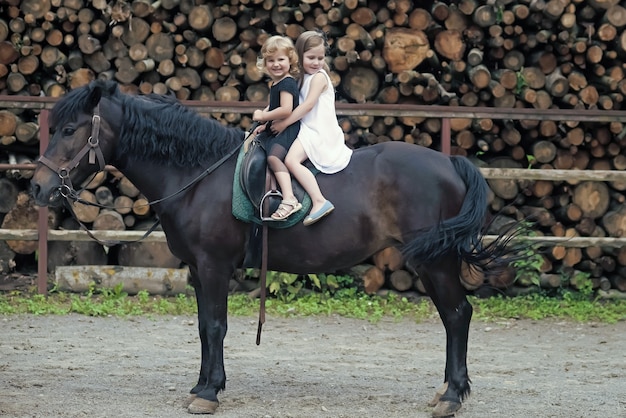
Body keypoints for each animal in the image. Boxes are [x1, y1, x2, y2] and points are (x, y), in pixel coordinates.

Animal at [31, 80, 512, 416]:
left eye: (70, 130)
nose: (37, 188)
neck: (199, 175)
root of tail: (450, 161)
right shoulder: (197, 270)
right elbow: (203, 327)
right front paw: (203, 385)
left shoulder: (214, 266)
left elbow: (215, 327)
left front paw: (209, 393)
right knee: (454, 317)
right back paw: (447, 390)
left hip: (435, 262)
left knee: (457, 315)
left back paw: (452, 396)